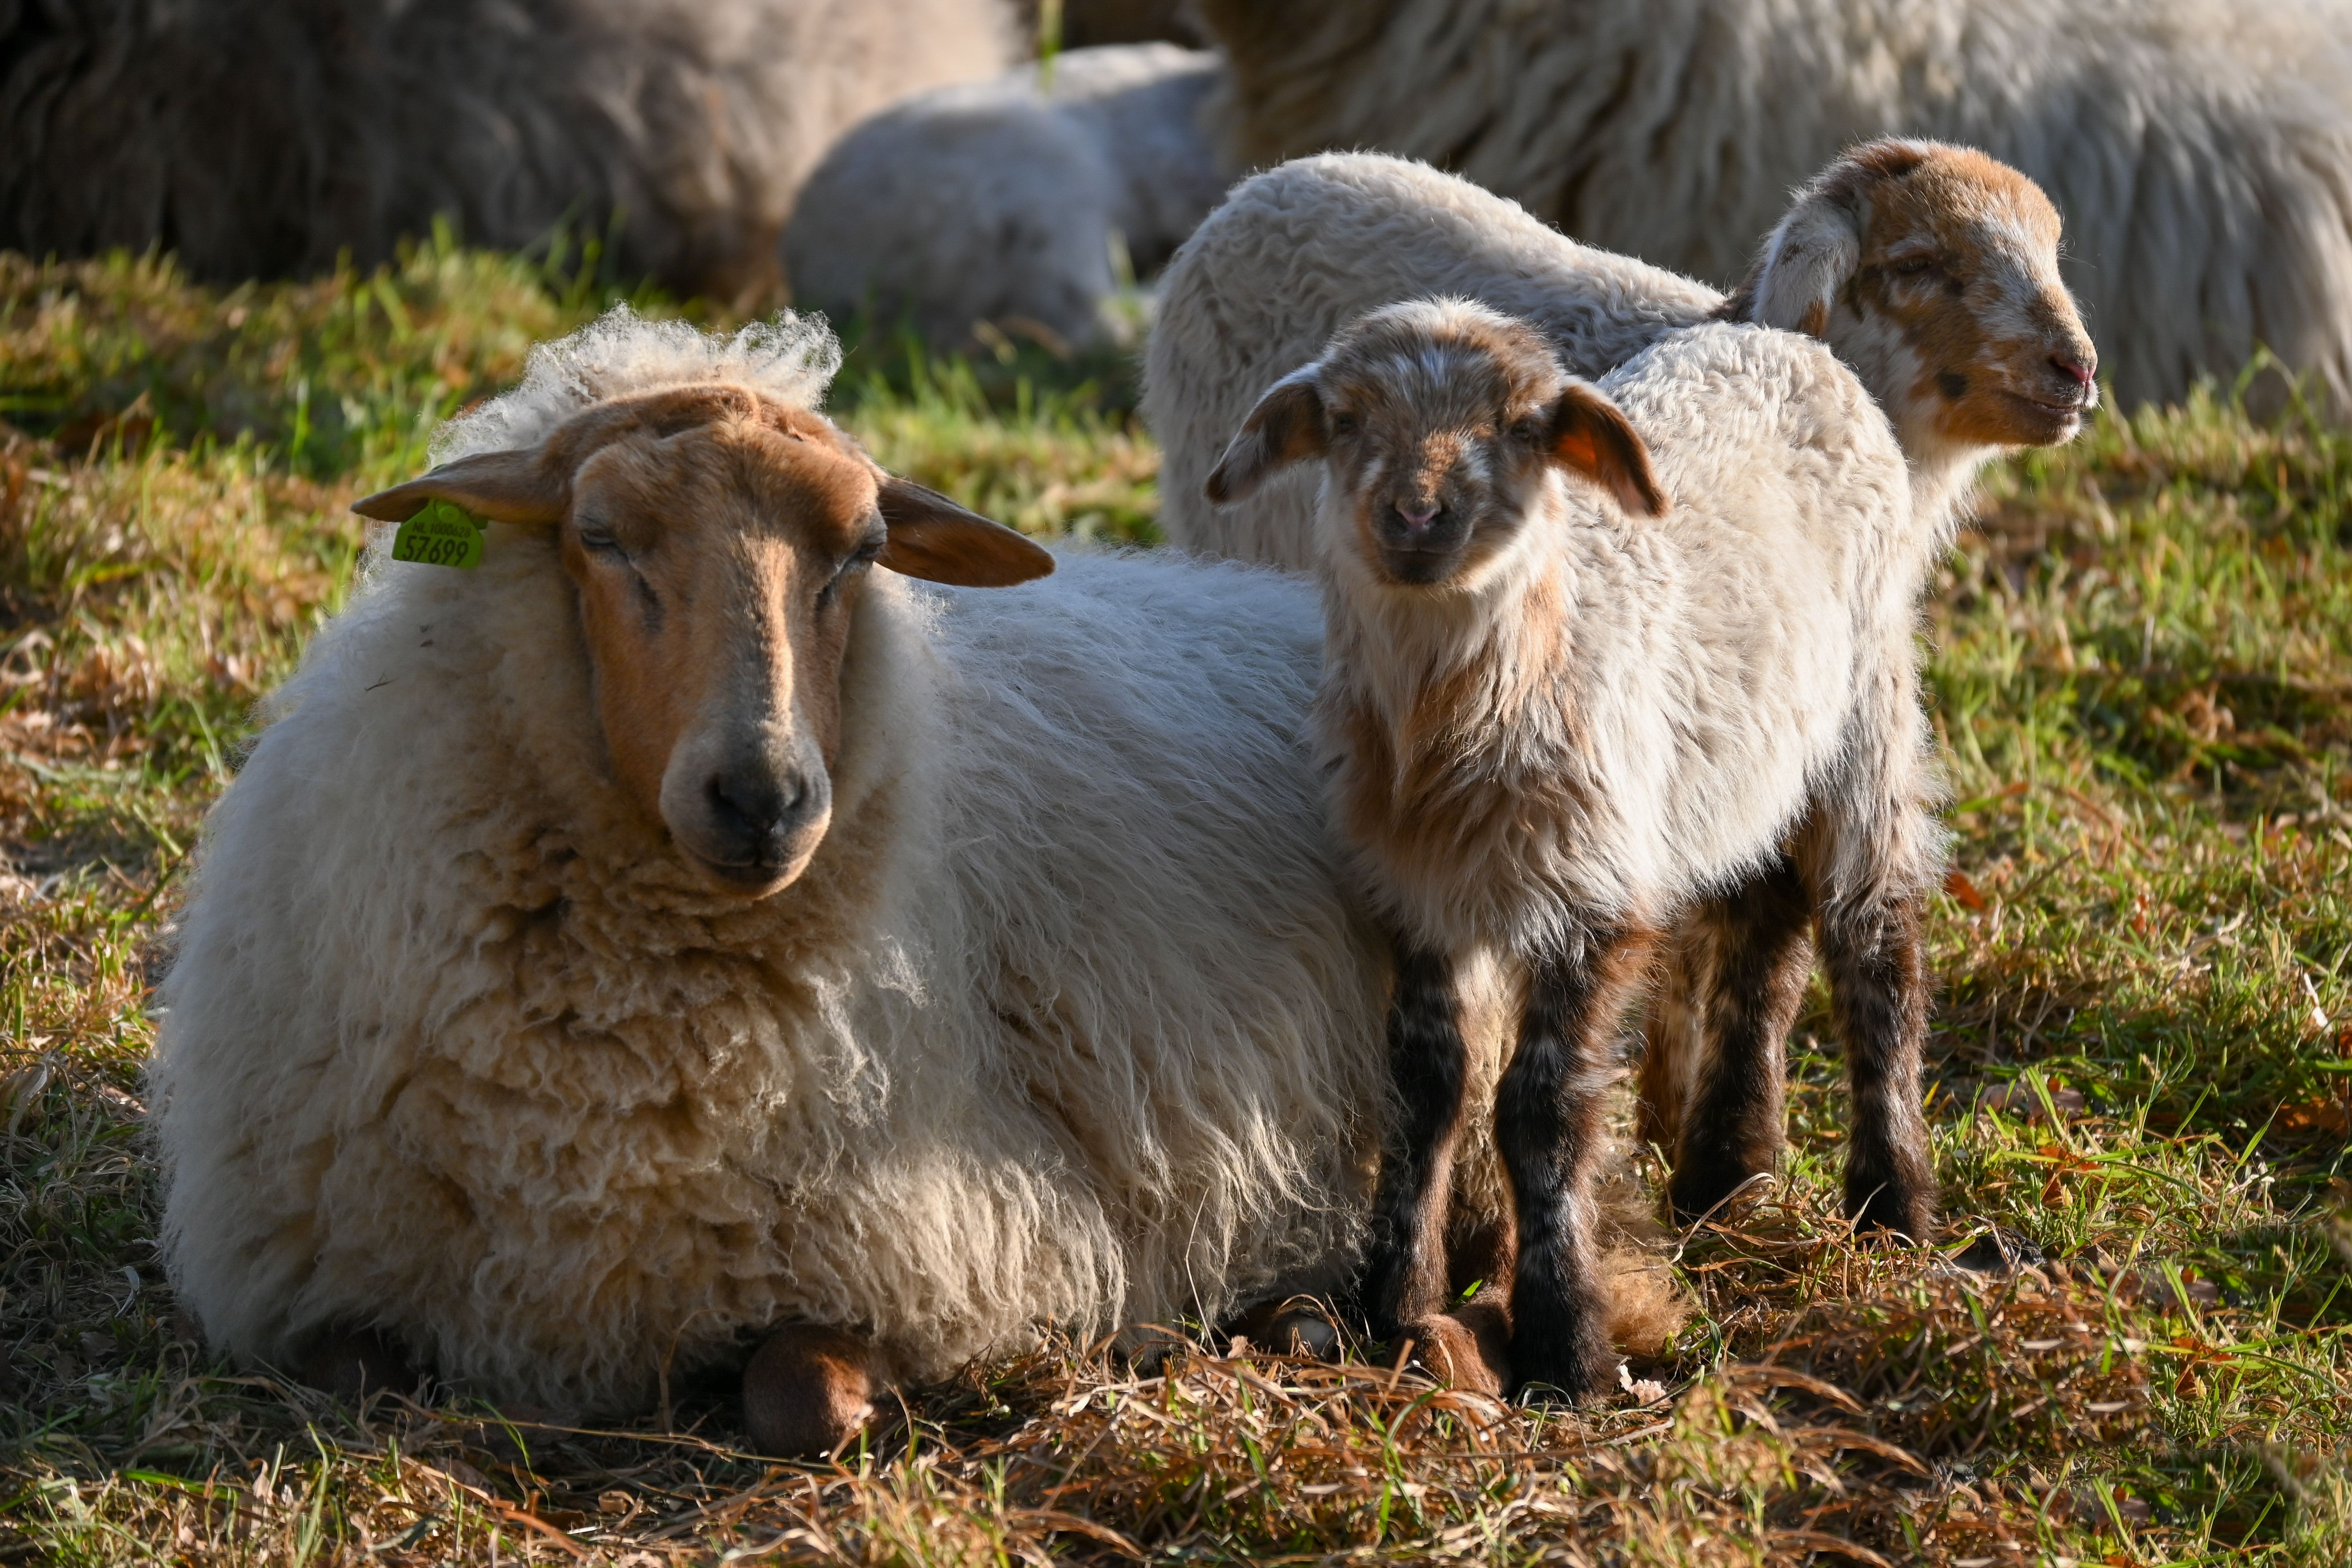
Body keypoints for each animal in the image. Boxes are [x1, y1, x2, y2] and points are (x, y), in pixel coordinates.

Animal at [147, 304, 1399, 1455]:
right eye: (599, 534)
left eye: (862, 548)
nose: (763, 796)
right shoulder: (314, 1269)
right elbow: (354, 1380)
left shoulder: (946, 1245)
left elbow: (801, 1396)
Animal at [1205, 300, 1945, 1398]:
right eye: (1343, 420)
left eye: (1523, 427)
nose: (1416, 515)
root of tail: (1788, 341)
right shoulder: (1418, 895)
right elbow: (1425, 1088)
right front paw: (1394, 1298)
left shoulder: (1591, 894)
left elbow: (1540, 1110)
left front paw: (1566, 1345)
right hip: (1754, 759)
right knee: (1763, 923)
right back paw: (1729, 1175)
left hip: (1869, 701)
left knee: (1874, 942)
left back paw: (1892, 1204)